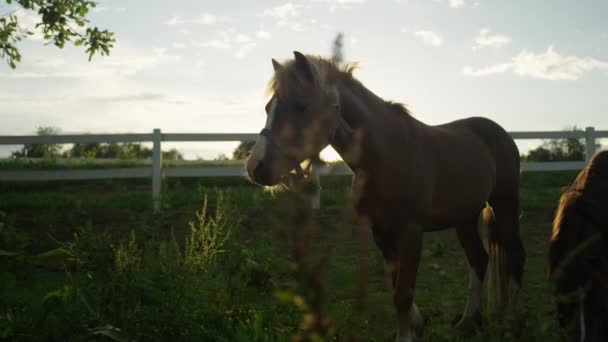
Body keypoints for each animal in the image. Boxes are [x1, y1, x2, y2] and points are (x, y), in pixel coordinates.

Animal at [245, 52, 524, 340]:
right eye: (268, 108)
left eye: (301, 106)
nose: (255, 167)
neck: (386, 155)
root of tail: (499, 132)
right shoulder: (380, 232)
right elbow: (396, 286)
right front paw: (416, 324)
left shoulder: (411, 232)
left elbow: (403, 294)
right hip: (465, 218)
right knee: (479, 259)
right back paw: (469, 320)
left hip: (505, 205)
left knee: (515, 255)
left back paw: (513, 321)